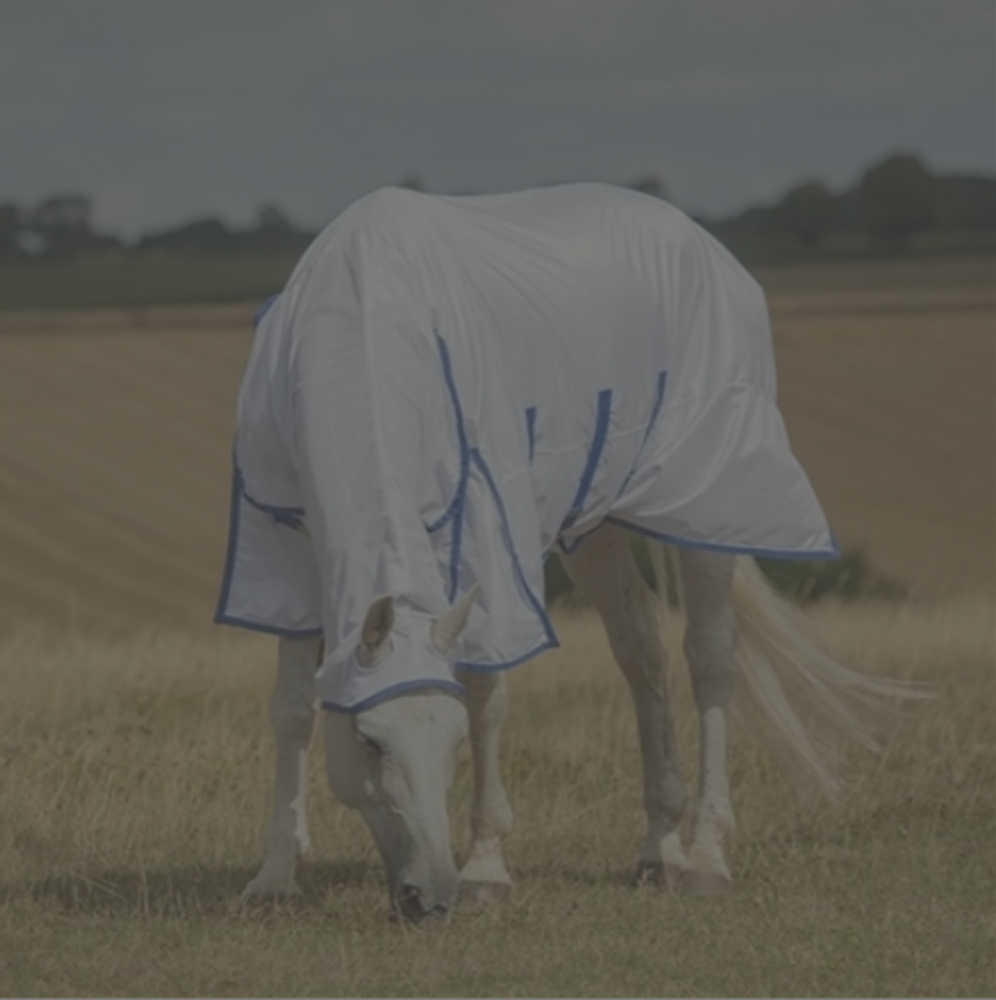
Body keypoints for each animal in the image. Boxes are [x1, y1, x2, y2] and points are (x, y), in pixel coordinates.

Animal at [216, 183, 911, 921]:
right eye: (370, 742)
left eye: (452, 742)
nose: (431, 897)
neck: (365, 332)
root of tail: (701, 241)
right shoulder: (284, 552)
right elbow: (293, 709)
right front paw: (275, 874)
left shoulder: (489, 540)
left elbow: (488, 696)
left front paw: (486, 867)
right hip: (594, 524)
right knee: (641, 649)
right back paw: (657, 849)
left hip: (708, 501)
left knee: (710, 659)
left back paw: (704, 857)